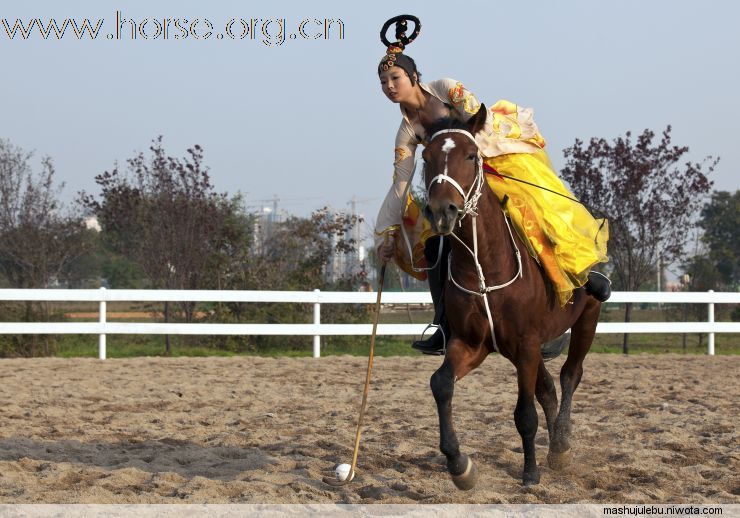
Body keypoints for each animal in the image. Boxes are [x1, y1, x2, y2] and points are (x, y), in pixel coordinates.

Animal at [422, 106, 600, 492]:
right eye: (426, 157)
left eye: (471, 155)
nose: (442, 210)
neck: (485, 267)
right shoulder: (471, 343)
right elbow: (441, 384)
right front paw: (459, 464)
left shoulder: (526, 344)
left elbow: (524, 413)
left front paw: (530, 473)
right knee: (548, 388)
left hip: (587, 317)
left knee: (570, 375)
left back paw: (560, 444)